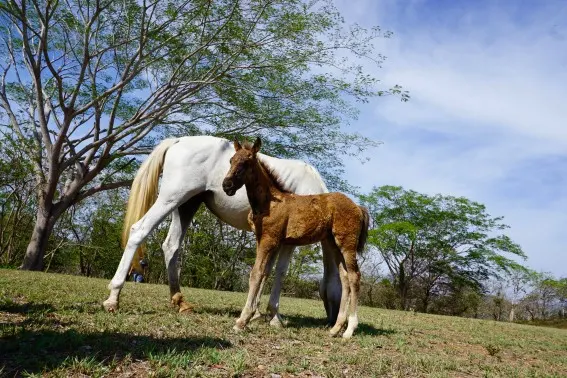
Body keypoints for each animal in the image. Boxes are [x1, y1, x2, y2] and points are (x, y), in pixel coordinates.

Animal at [103, 134, 342, 326]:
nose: (333, 321)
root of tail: (178, 141)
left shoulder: (272, 238)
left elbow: (264, 271)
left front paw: (254, 313)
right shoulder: (287, 242)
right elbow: (279, 273)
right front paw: (274, 317)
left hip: (185, 205)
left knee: (171, 246)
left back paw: (180, 301)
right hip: (170, 199)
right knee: (139, 230)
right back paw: (113, 298)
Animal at [222, 137, 368, 338]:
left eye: (246, 162)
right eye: (231, 161)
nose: (226, 185)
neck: (269, 203)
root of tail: (358, 207)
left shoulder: (269, 240)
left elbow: (256, 273)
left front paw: (242, 320)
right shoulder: (267, 240)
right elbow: (265, 272)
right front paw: (253, 316)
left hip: (347, 243)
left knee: (354, 276)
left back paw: (350, 329)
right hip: (333, 244)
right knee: (345, 278)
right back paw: (336, 328)